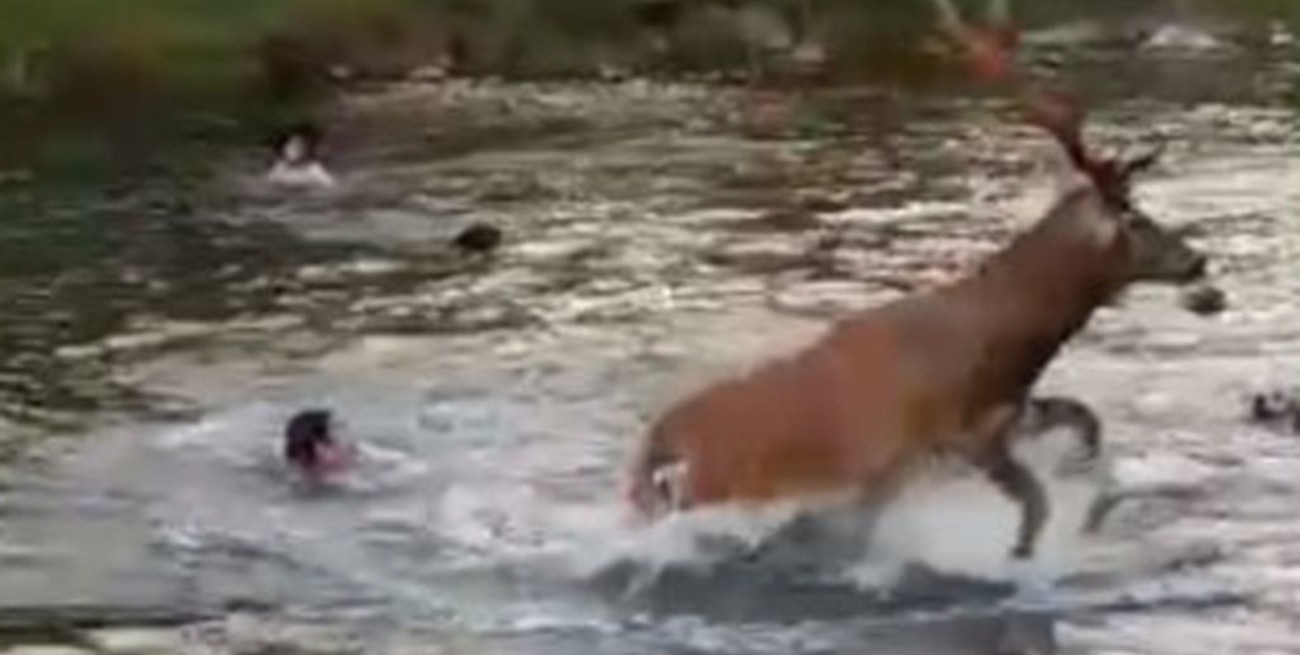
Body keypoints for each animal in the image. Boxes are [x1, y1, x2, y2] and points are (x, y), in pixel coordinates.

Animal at [624, 0, 1206, 564]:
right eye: (1133, 218)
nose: (1197, 262)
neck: (1002, 350)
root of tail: (655, 451)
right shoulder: (944, 439)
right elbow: (1035, 506)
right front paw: (1023, 553)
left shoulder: (1002, 418)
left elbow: (1084, 423)